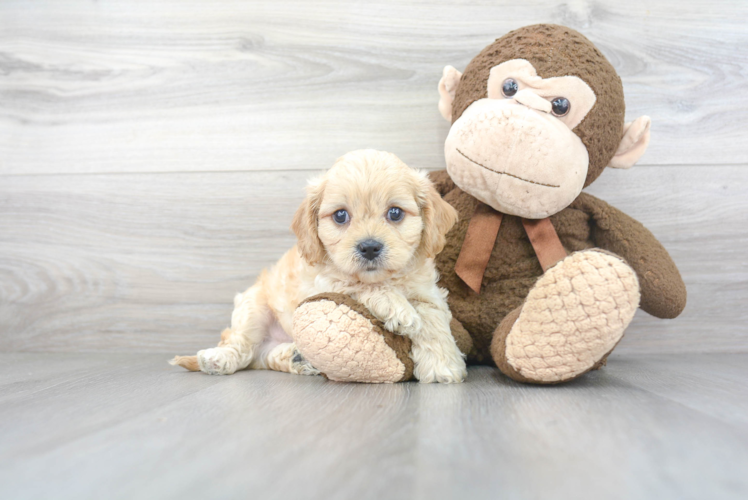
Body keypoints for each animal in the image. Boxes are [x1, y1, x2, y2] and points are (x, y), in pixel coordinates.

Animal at [171, 150, 468, 384]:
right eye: (340, 215)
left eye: (395, 213)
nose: (369, 247)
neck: (387, 278)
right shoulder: (325, 282)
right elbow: (358, 285)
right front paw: (397, 307)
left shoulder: (428, 293)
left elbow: (432, 320)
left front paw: (442, 365)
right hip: (252, 308)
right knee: (241, 348)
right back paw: (217, 358)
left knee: (262, 357)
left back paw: (297, 358)